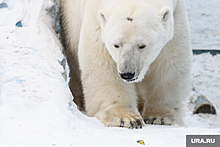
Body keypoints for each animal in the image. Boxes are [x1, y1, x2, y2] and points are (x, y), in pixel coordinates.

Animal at [61, 0, 192, 129]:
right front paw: (126, 118)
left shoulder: (176, 15)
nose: (127, 74)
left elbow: (170, 63)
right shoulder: (96, 21)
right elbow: (102, 63)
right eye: (116, 45)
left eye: (142, 45)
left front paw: (159, 117)